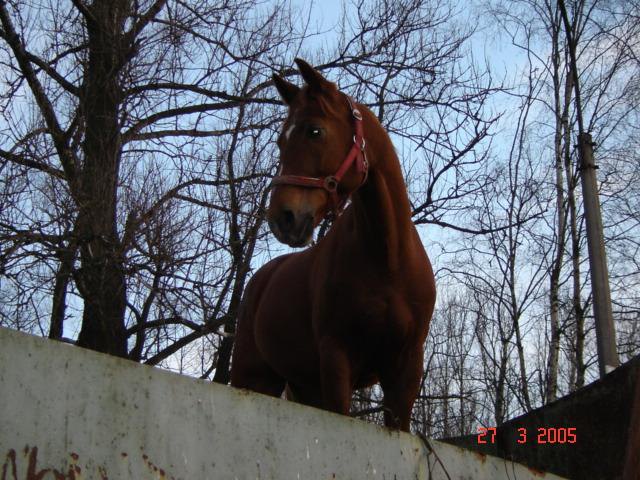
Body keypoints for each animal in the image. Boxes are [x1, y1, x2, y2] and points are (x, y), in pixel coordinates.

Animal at [230, 60, 436, 432]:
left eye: (314, 131)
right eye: (280, 140)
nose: (281, 218)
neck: (388, 259)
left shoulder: (405, 370)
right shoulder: (336, 359)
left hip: (303, 385)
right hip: (253, 377)